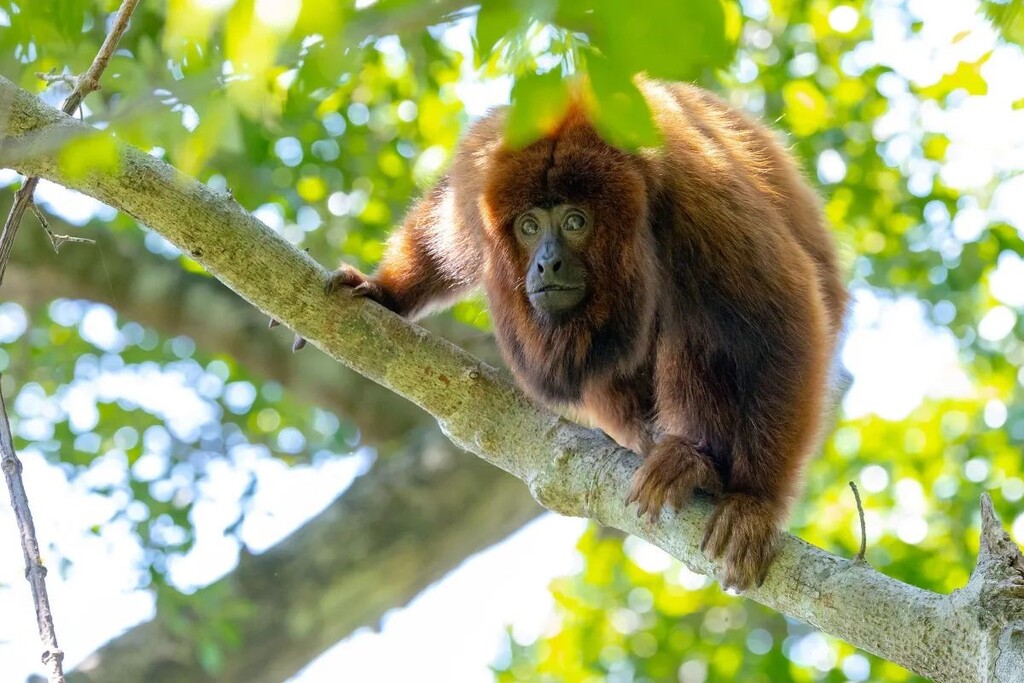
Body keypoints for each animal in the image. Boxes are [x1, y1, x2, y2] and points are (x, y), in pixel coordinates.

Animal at [327, 80, 847, 589]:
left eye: (575, 221)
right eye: (529, 226)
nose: (546, 263)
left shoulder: (697, 192)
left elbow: (781, 320)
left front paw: (754, 502)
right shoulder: (479, 173)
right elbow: (440, 237)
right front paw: (386, 290)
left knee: (696, 323)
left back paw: (695, 461)